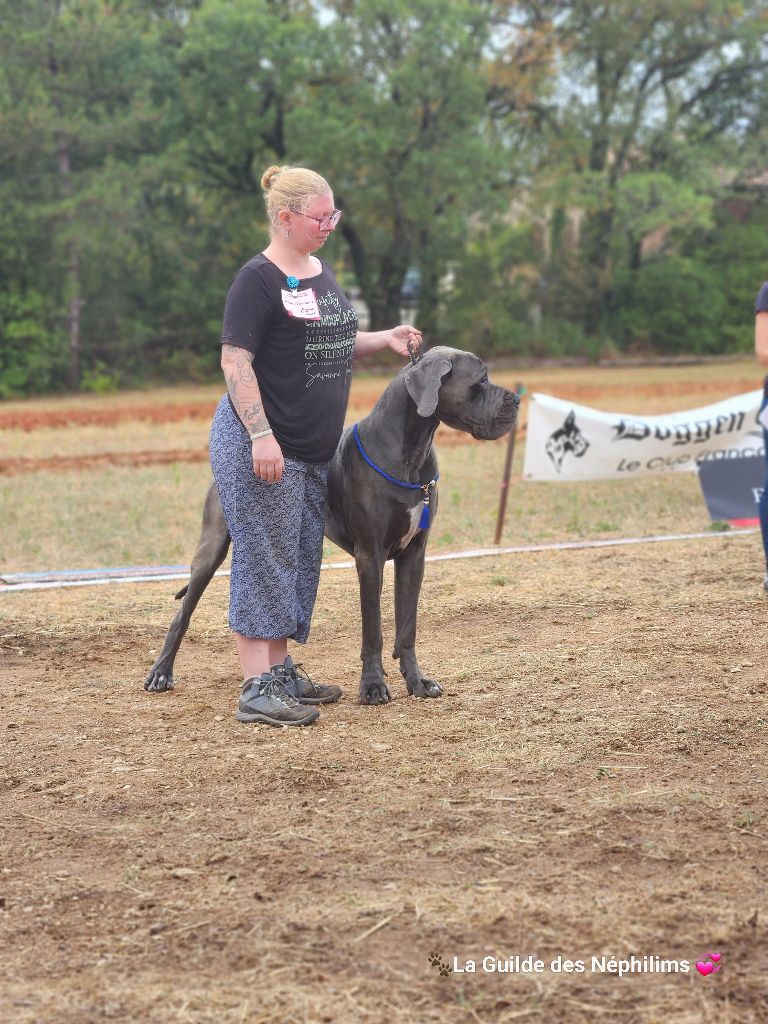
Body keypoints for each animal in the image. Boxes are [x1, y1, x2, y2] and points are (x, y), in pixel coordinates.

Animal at [144, 348, 520, 708]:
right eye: (481, 380)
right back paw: (162, 672)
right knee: (182, 613)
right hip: (213, 546)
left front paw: (417, 682)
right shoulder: (369, 556)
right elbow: (373, 629)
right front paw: (372, 686)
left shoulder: (414, 554)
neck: (410, 450)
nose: (516, 400)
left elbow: (407, 626)